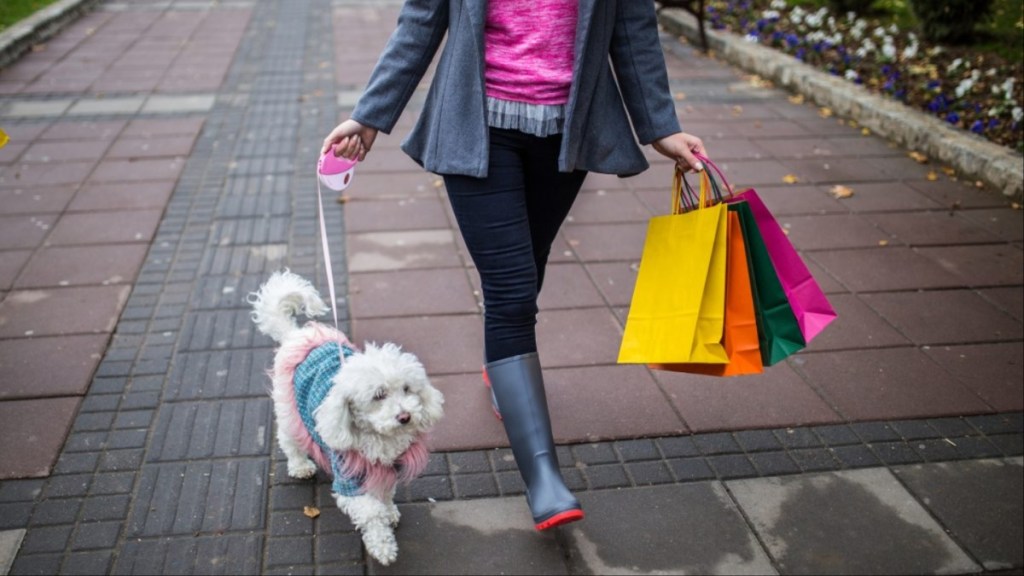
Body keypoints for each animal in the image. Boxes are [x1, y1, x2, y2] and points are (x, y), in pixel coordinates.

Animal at [250, 270, 444, 565]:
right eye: (379, 395)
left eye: (407, 389)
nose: (405, 416)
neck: (379, 438)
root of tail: (296, 335)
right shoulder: (349, 478)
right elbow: (371, 512)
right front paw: (383, 547)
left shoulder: (387, 468)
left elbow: (384, 494)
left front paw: (389, 511)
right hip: (289, 410)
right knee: (289, 440)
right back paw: (300, 466)